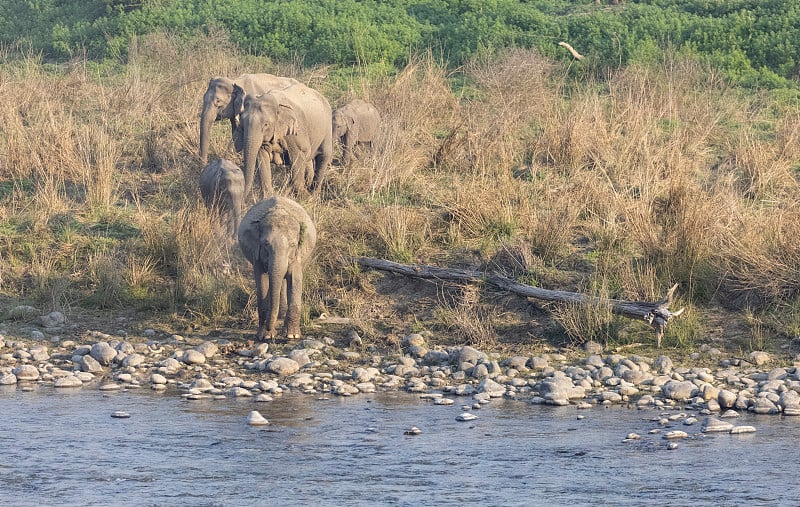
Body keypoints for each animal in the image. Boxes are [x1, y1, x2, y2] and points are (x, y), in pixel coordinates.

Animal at [236, 196, 318, 344]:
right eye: (266, 244)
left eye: (292, 244)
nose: (270, 328)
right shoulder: (256, 254)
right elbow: (262, 281)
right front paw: (265, 336)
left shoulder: (297, 255)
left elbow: (295, 279)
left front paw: (292, 336)